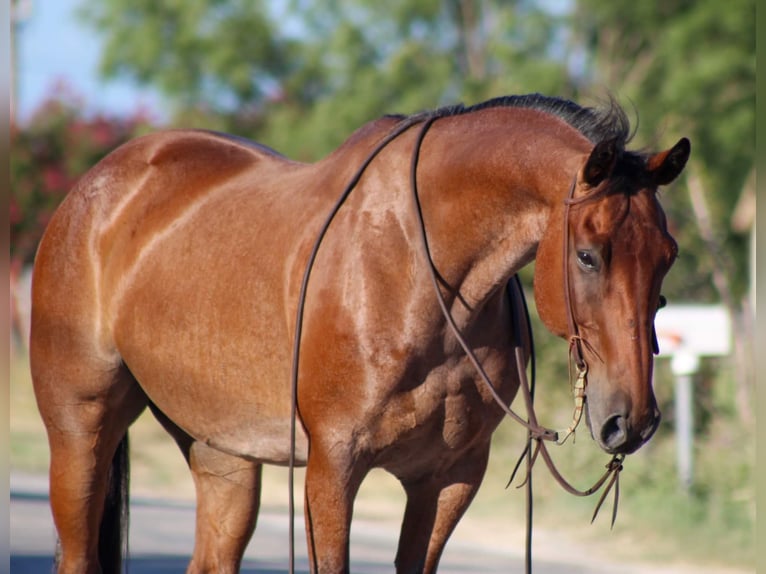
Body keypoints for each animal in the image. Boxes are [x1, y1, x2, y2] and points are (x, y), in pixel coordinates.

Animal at [29, 93, 689, 573]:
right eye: (587, 255)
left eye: (668, 257)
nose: (632, 420)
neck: (418, 274)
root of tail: (95, 189)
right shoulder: (332, 469)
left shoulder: (449, 477)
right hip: (80, 433)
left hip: (220, 453)